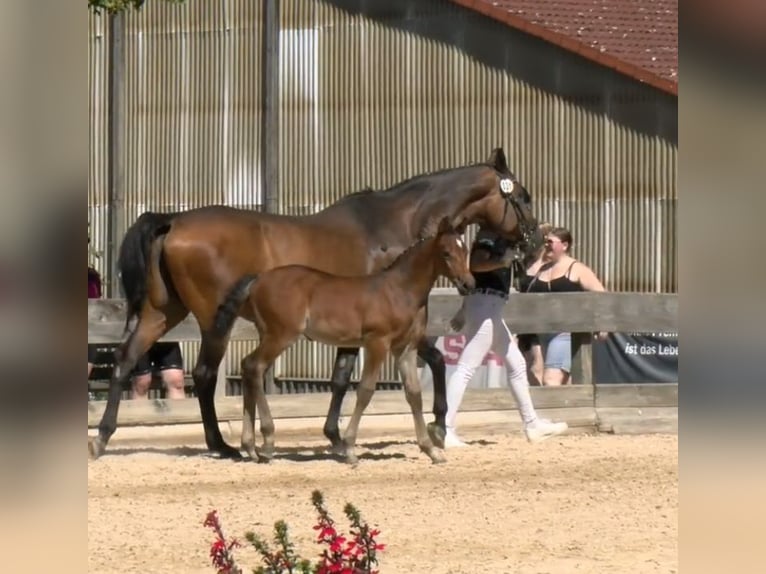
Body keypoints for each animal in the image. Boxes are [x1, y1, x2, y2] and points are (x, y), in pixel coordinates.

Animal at [212, 217, 475, 465]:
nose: (468, 284)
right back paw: (267, 442)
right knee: (255, 366)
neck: (400, 291)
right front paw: (349, 448)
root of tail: (258, 279)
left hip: (268, 334)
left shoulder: (406, 348)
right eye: (446, 252)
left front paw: (431, 450)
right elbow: (366, 390)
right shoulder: (377, 343)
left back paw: (250, 446)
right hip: (281, 335)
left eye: (466, 251)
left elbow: (414, 394)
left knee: (248, 367)